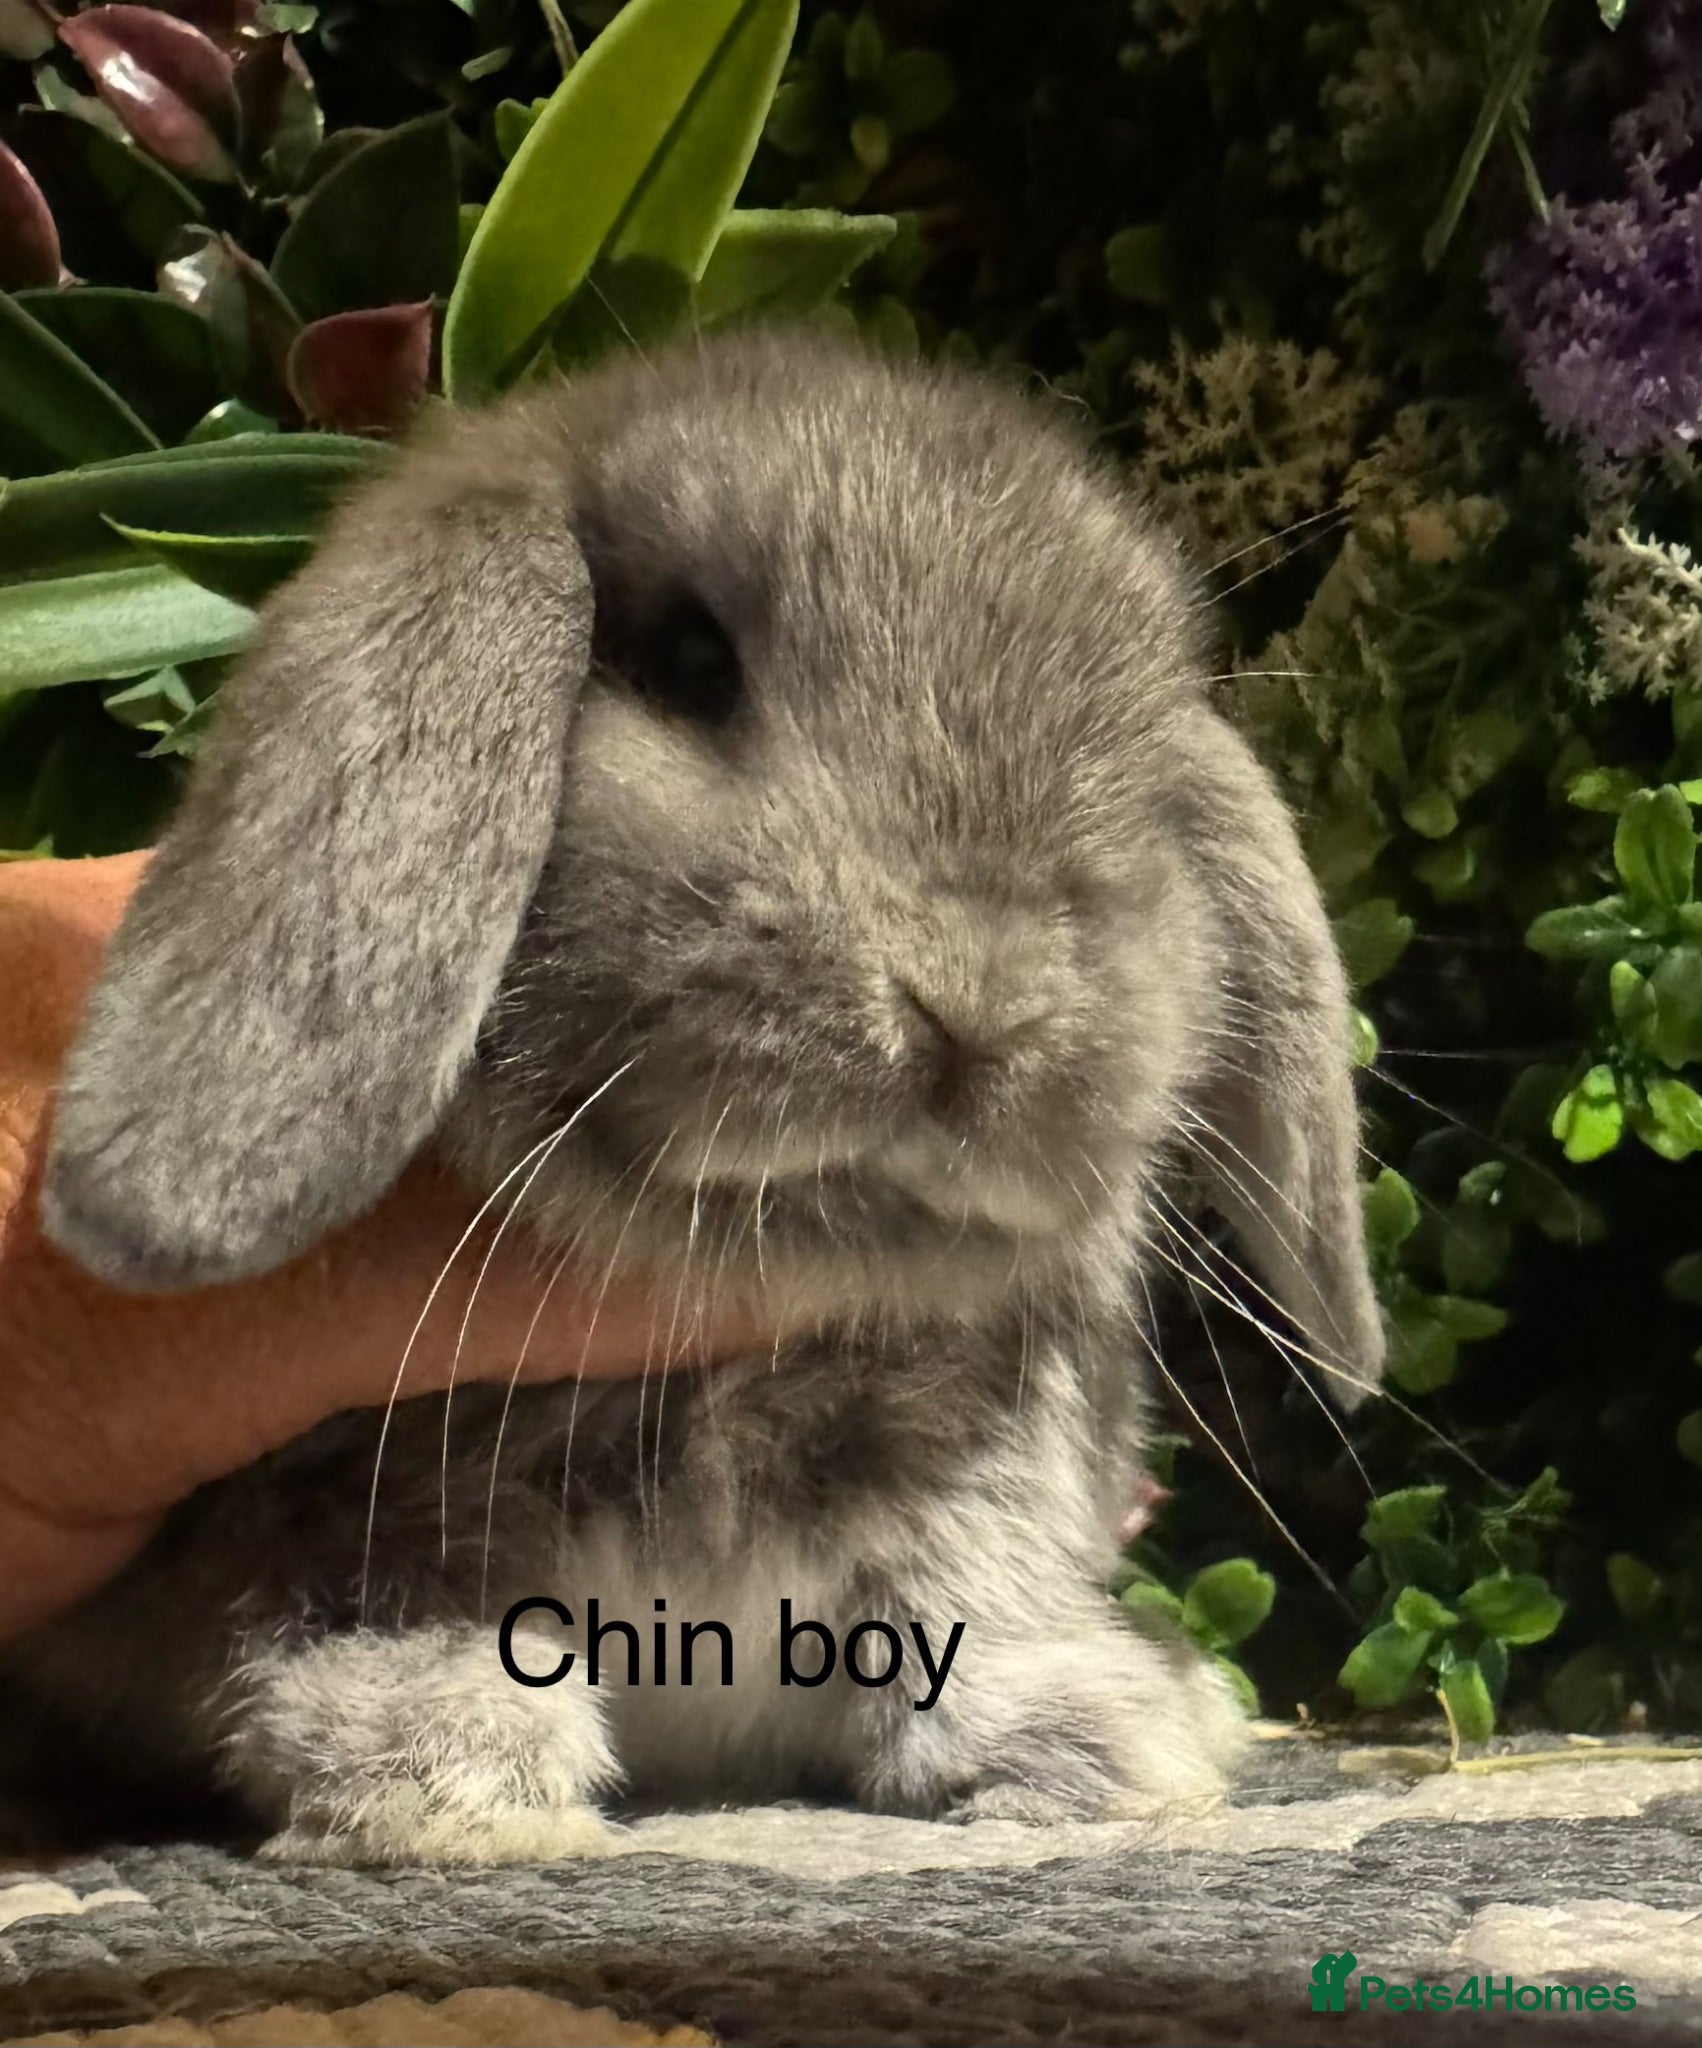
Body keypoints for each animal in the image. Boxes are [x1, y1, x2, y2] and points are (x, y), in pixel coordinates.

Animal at [6, 327, 1384, 1868]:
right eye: (688, 659)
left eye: (1139, 776)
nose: (977, 1005)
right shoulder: (320, 1493)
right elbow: (358, 1589)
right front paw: (442, 1770)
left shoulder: (974, 1465)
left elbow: (959, 1582)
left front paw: (1101, 1739)